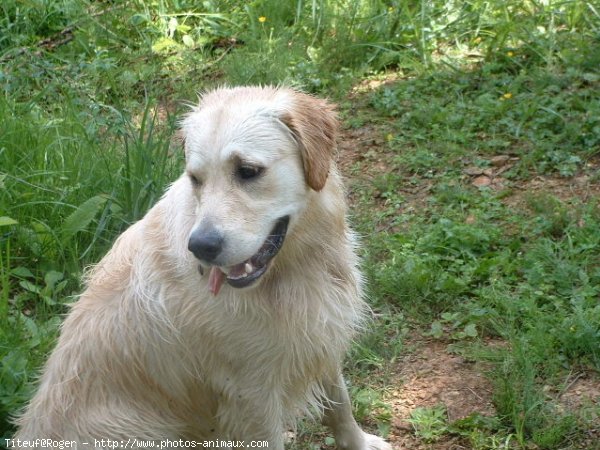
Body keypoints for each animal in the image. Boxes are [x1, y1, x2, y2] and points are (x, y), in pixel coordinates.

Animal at [14, 85, 392, 450]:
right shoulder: (251, 395)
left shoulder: (321, 336)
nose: (201, 247)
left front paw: (359, 442)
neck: (292, 268)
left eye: (248, 171)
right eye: (196, 179)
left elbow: (340, 404)